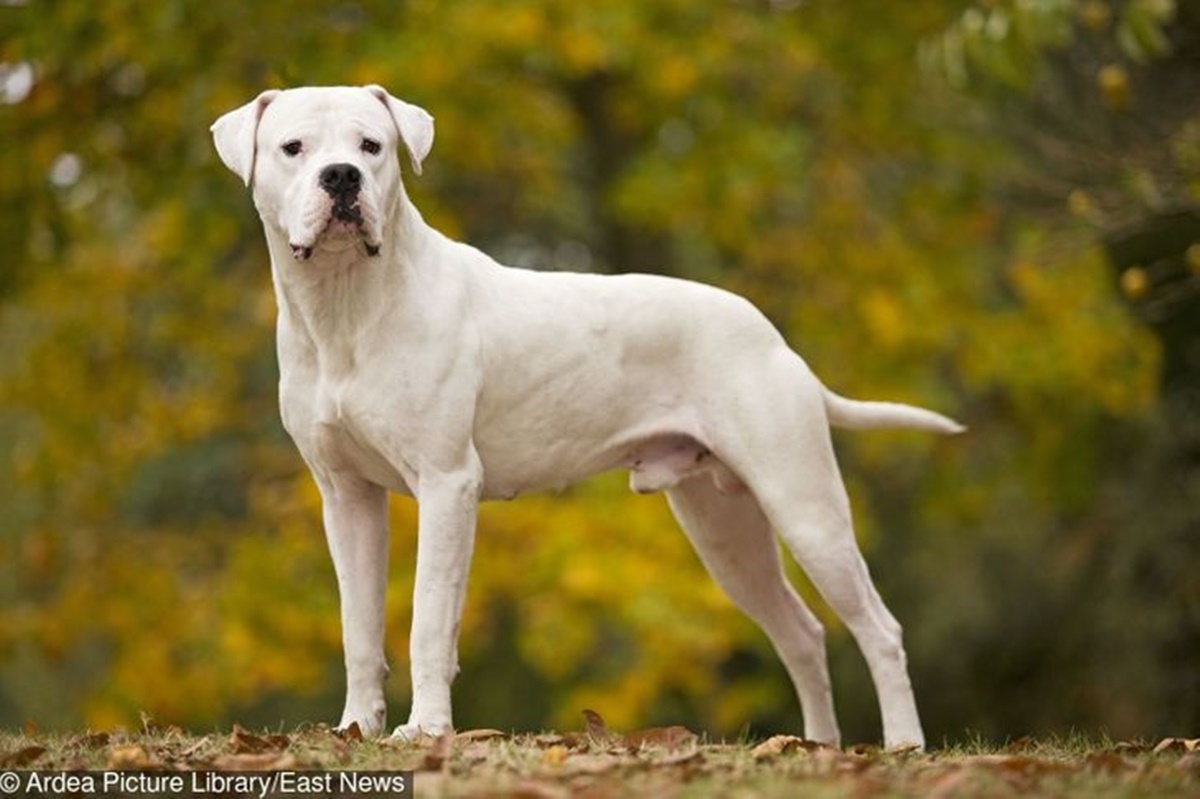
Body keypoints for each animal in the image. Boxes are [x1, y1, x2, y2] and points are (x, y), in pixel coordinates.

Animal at [213, 85, 964, 748]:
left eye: (372, 146)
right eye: (293, 148)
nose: (341, 177)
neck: (347, 306)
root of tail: (777, 340)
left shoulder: (447, 484)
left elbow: (429, 619)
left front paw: (425, 731)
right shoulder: (347, 497)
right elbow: (359, 626)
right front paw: (357, 729)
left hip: (804, 505)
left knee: (879, 629)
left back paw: (902, 745)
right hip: (725, 530)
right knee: (801, 632)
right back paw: (817, 747)